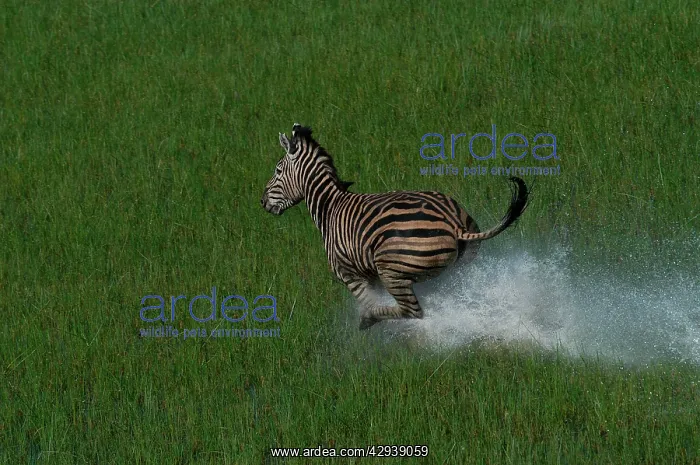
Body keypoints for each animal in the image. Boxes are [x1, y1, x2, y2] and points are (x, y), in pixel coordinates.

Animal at [261, 124, 529, 330]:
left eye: (277, 170)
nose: (262, 202)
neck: (330, 207)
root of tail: (452, 222)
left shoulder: (351, 275)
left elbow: (368, 302)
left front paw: (368, 318)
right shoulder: (369, 274)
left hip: (392, 270)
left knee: (413, 311)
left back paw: (370, 320)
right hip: (459, 268)